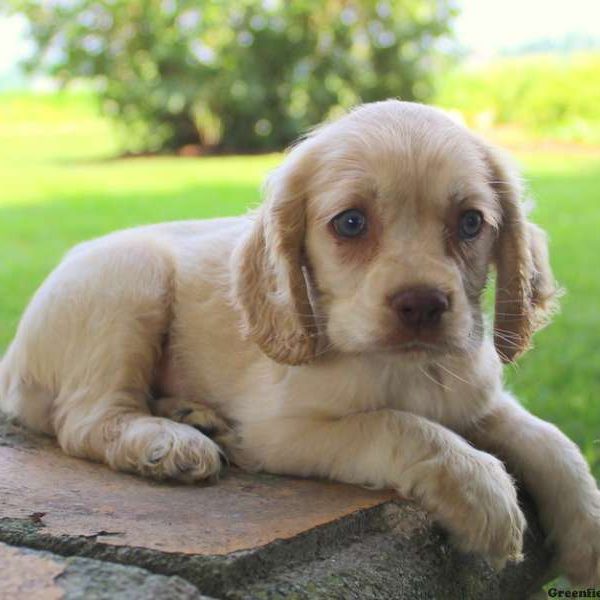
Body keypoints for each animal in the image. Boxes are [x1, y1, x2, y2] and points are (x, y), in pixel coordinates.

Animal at [1, 101, 600, 584]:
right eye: (351, 223)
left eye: (471, 222)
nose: (423, 305)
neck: (409, 369)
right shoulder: (279, 432)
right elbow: (402, 425)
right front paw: (486, 495)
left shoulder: (477, 401)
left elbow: (550, 440)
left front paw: (588, 532)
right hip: (129, 281)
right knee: (85, 420)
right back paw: (166, 441)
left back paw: (192, 414)